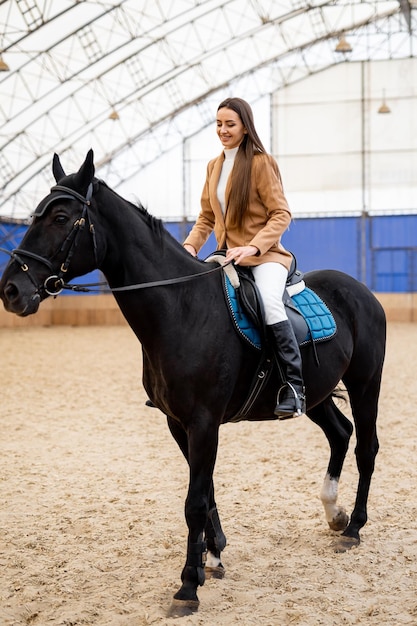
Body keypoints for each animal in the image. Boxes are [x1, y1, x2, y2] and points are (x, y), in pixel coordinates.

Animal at [0, 150, 384, 616]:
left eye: (59, 217)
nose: (11, 290)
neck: (181, 308)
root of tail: (360, 290)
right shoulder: (178, 422)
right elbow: (208, 492)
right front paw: (212, 557)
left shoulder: (204, 423)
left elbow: (195, 501)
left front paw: (187, 586)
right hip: (314, 394)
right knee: (340, 433)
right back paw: (335, 514)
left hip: (365, 384)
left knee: (365, 446)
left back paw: (354, 527)